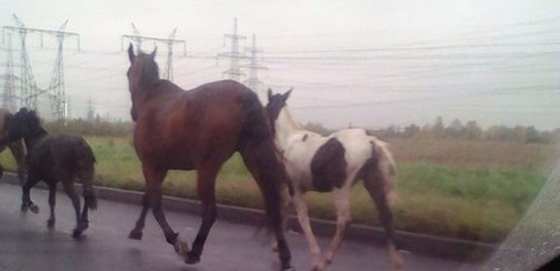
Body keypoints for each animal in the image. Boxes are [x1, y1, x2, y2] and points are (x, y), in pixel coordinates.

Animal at [126, 43, 294, 270]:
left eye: (128, 73)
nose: (133, 113)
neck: (151, 99)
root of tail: (245, 97)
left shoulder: (150, 165)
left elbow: (156, 204)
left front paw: (177, 242)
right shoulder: (160, 167)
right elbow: (147, 199)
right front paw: (137, 230)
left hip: (208, 167)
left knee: (210, 212)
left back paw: (194, 252)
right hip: (255, 158)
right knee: (273, 205)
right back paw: (284, 256)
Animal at [266, 90, 402, 271]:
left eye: (265, 106)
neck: (290, 140)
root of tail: (372, 141)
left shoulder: (294, 186)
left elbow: (302, 216)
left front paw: (315, 258)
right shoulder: (299, 188)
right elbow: (288, 208)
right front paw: (276, 245)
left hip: (340, 189)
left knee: (344, 220)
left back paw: (325, 260)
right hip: (373, 184)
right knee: (386, 216)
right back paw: (397, 263)